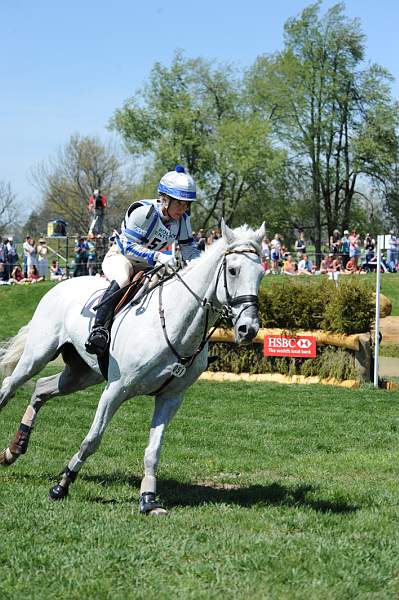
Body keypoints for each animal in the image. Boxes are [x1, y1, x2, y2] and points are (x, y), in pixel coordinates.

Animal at [0, 223, 266, 512]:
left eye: (261, 274)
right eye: (233, 270)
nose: (248, 329)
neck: (175, 324)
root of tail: (58, 286)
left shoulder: (170, 398)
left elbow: (153, 451)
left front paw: (148, 499)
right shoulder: (115, 390)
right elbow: (92, 440)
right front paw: (62, 486)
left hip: (82, 374)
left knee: (41, 389)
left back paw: (13, 450)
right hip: (38, 355)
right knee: (10, 385)